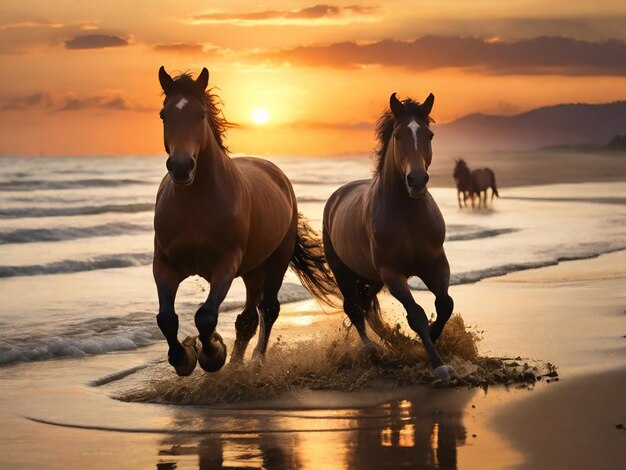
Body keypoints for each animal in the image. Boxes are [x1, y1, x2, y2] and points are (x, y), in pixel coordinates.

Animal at [152, 66, 336, 376]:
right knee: (248, 317)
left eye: (201, 114)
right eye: (164, 114)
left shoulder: (226, 263)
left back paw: (255, 361)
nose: (181, 167)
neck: (195, 205)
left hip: (275, 263)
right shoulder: (165, 264)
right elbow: (166, 318)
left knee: (268, 309)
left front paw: (213, 353)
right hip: (253, 271)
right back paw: (236, 366)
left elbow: (206, 316)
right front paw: (184, 358)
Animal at [322, 92, 454, 382]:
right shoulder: (393, 274)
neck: (408, 216)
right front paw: (437, 363)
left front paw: (430, 340)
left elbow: (445, 304)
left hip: (371, 278)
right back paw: (373, 351)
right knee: (355, 309)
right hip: (344, 271)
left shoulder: (436, 263)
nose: (417, 180)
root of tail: (337, 196)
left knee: (366, 306)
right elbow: (416, 315)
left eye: (429, 135)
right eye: (397, 135)